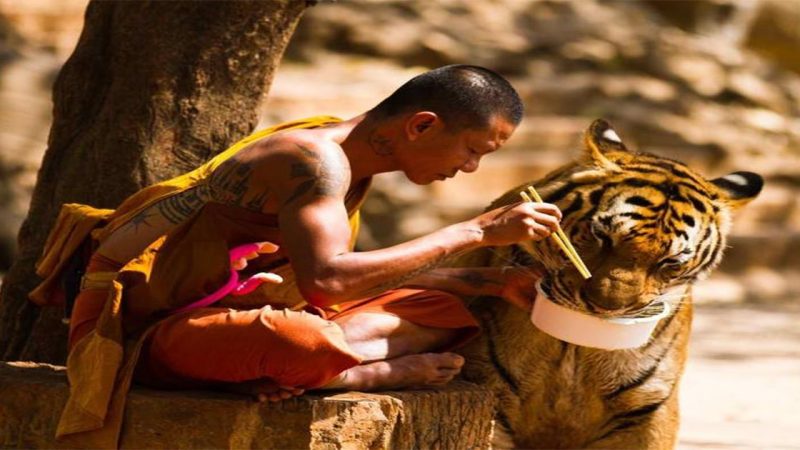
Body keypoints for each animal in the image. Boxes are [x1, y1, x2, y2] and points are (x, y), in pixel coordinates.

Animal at [456, 118, 764, 448]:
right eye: (601, 235)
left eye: (670, 261)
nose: (605, 307)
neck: (575, 347)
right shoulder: (490, 389)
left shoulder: (647, 409)